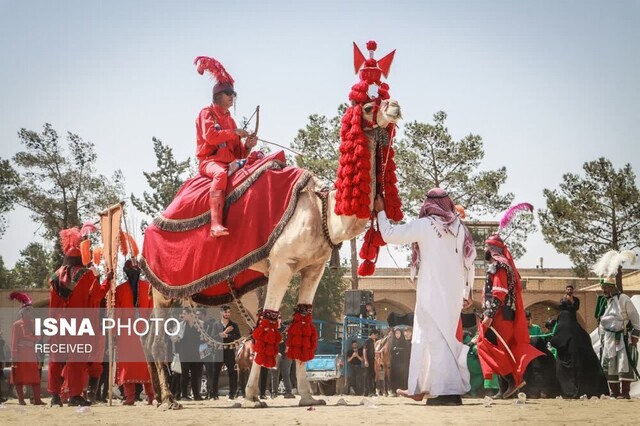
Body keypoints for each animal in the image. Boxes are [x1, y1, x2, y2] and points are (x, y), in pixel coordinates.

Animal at [143, 97, 402, 410]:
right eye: (368, 106)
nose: (395, 106)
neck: (324, 213)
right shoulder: (282, 264)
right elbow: (267, 322)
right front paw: (252, 396)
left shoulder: (313, 268)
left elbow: (301, 322)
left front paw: (306, 396)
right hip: (164, 285)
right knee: (159, 340)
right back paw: (169, 400)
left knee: (149, 340)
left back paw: (157, 398)